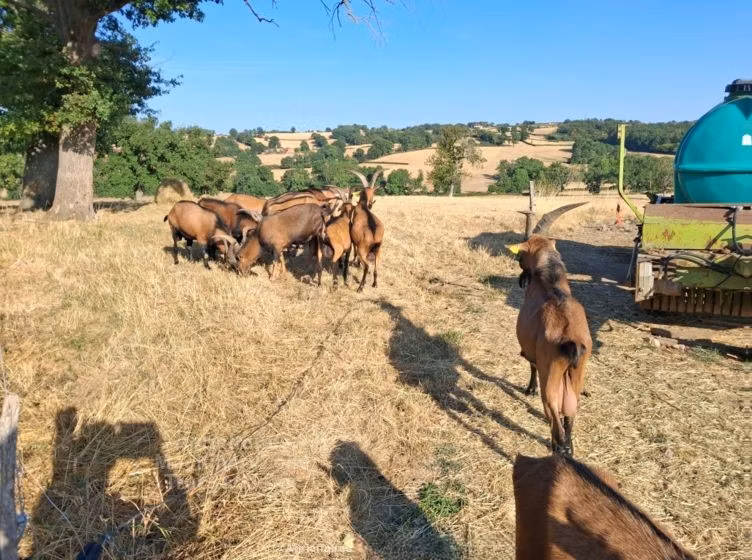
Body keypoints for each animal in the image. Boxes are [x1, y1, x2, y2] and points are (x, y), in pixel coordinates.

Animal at [506, 234, 591, 455]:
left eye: (521, 255)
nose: (522, 279)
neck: (551, 282)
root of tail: (571, 340)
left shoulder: (533, 351)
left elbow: (531, 364)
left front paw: (530, 389)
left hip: (551, 372)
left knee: (553, 410)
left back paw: (558, 447)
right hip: (576, 373)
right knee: (570, 411)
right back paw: (569, 448)